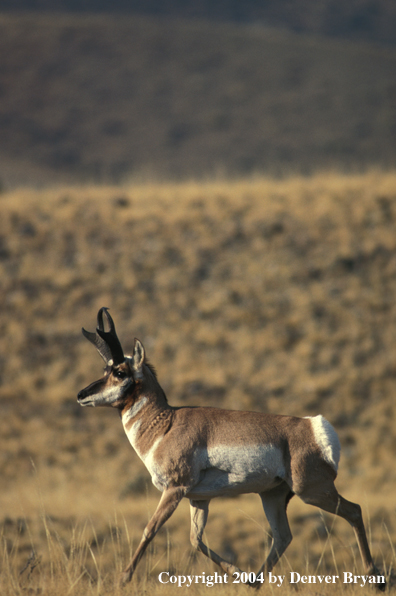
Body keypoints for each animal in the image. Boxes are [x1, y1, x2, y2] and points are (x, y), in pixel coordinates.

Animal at [78, 310, 386, 588]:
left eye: (119, 372)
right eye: (105, 370)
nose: (81, 394)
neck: (166, 423)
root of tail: (311, 425)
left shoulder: (175, 489)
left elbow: (150, 529)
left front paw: (123, 579)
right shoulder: (198, 499)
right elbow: (195, 540)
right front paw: (238, 573)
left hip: (312, 491)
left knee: (354, 511)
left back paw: (375, 578)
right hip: (273, 496)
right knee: (283, 537)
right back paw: (253, 581)